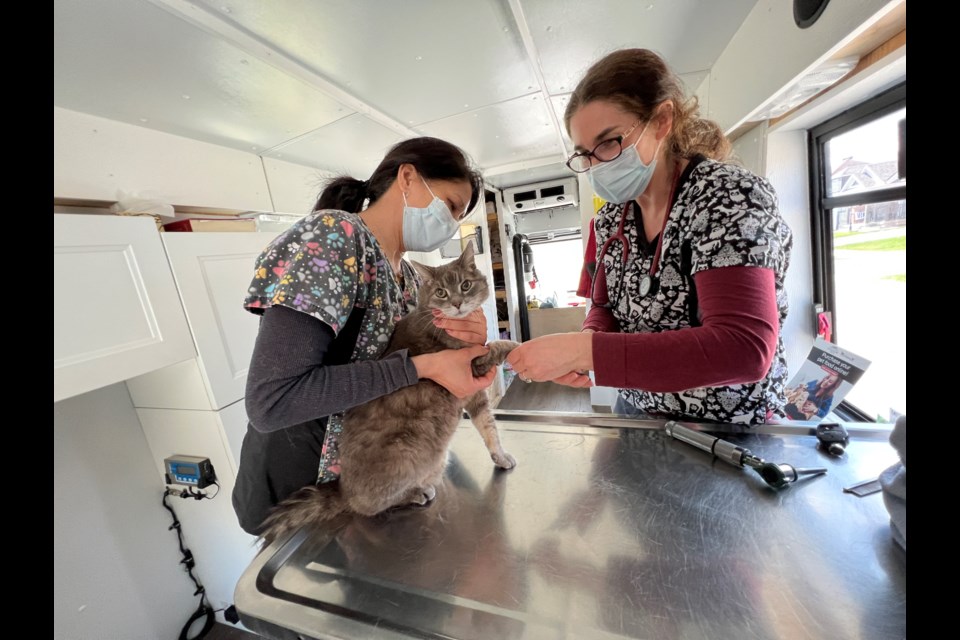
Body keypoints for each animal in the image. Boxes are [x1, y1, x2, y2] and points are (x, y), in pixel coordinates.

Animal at [260, 245, 516, 544]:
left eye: (465, 285)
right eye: (441, 292)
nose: (457, 303)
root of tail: (343, 491)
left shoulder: (475, 396)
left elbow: (489, 429)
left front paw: (500, 457)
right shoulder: (470, 368)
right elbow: (497, 346)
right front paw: (518, 346)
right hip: (407, 451)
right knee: (368, 506)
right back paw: (416, 492)